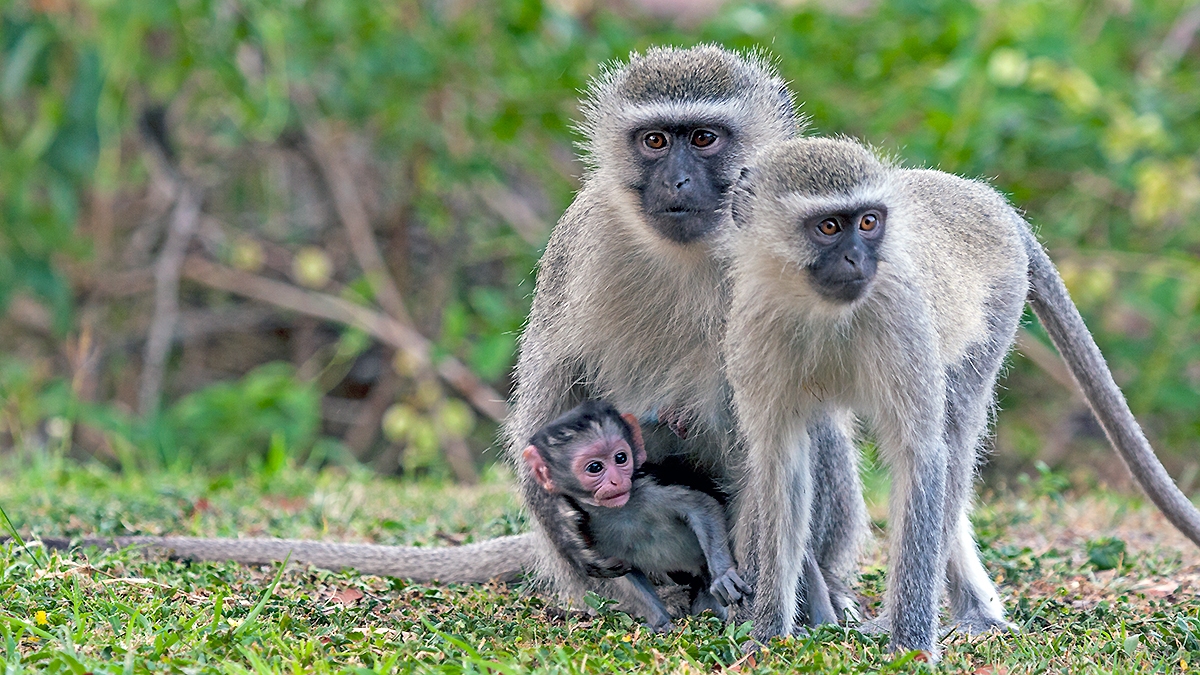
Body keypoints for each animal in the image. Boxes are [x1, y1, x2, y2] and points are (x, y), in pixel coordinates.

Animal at [520, 400, 751, 630]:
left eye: (621, 457)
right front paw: (660, 622)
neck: (620, 511)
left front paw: (722, 575)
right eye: (595, 467)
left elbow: (702, 507)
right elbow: (626, 573)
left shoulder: (649, 489)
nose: (617, 481)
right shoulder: (590, 532)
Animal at [721, 136, 1200, 658]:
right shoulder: (752, 328)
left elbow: (923, 456)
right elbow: (780, 463)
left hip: (998, 306)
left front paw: (910, 647)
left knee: (952, 438)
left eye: (868, 222)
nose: (858, 261)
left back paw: (965, 615)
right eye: (829, 227)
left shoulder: (903, 317)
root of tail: (983, 197)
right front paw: (767, 634)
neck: (818, 308)